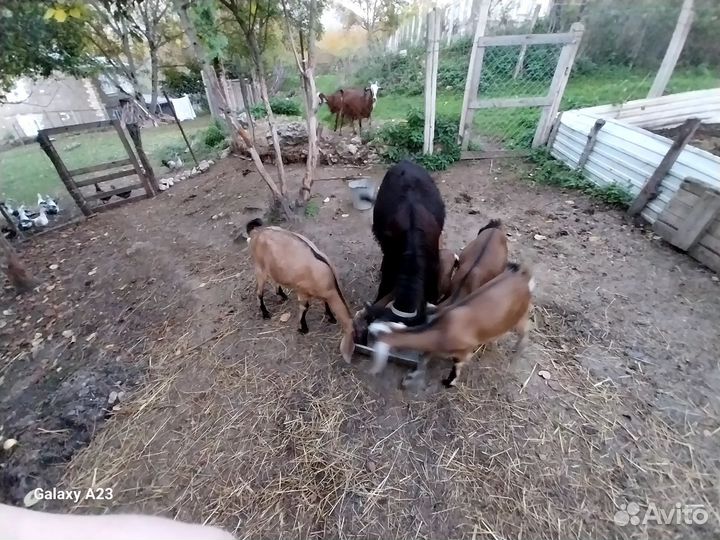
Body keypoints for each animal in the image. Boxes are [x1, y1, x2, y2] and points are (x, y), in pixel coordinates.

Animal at [245, 218, 355, 362]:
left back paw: (282, 294)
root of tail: (256, 233)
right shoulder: (301, 291)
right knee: (259, 292)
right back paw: (265, 313)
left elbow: (325, 302)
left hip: (273, 268)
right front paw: (303, 328)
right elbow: (305, 307)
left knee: (275, 280)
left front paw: (330, 317)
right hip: (260, 269)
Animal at [368, 262, 534, 387]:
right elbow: (423, 360)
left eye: (373, 336)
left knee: (525, 331)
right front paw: (409, 379)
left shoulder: (464, 351)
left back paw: (517, 352)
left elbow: (456, 367)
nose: (372, 371)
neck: (443, 329)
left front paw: (449, 382)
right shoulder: (434, 348)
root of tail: (522, 278)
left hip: (520, 317)